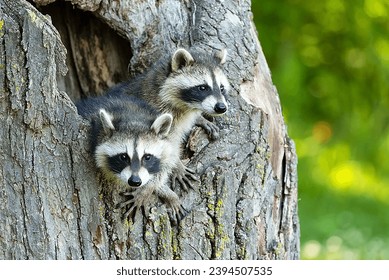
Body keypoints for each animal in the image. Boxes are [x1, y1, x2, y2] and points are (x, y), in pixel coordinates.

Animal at [77, 93, 186, 222]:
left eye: (147, 157)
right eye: (123, 157)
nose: (135, 181)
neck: (133, 116)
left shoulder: (170, 140)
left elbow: (168, 163)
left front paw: (147, 190)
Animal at [110, 47, 229, 190]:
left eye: (221, 88)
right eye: (202, 87)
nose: (221, 107)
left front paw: (200, 119)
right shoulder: (156, 114)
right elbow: (167, 146)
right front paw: (177, 166)